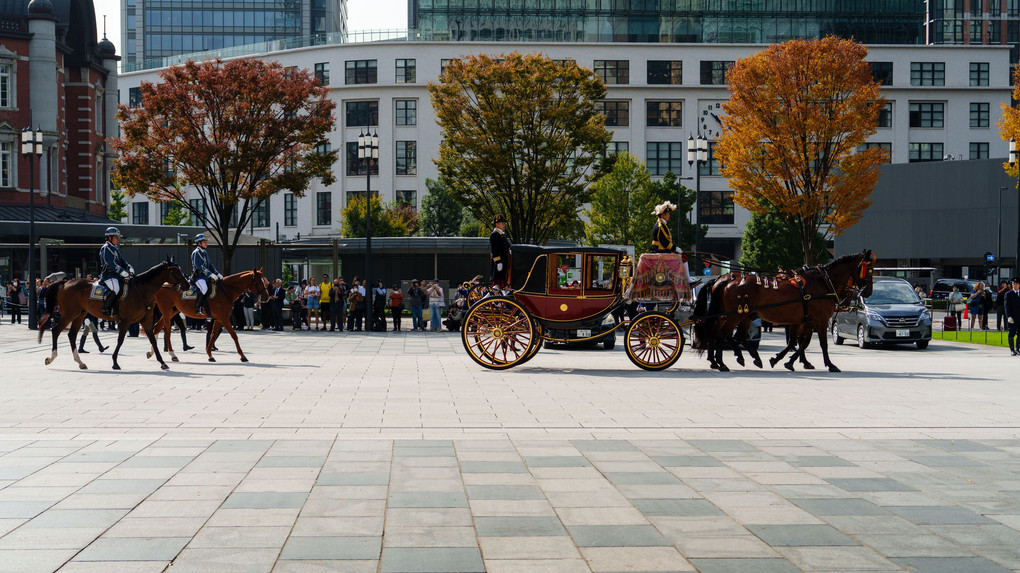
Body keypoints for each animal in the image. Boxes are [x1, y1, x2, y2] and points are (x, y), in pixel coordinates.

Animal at [37, 254, 189, 371]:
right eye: (174, 271)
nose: (187, 285)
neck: (141, 291)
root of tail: (65, 283)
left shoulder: (146, 321)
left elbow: (152, 339)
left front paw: (162, 362)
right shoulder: (126, 321)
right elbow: (120, 340)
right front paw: (115, 362)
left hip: (79, 315)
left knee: (71, 335)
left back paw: (80, 362)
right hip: (69, 314)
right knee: (56, 330)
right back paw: (51, 358)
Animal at [693, 249, 877, 371]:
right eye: (869, 270)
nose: (868, 292)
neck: (823, 282)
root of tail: (726, 279)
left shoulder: (805, 321)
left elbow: (799, 342)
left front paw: (785, 360)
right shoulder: (820, 320)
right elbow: (820, 344)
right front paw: (830, 364)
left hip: (741, 316)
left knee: (735, 336)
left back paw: (745, 358)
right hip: (735, 316)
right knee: (722, 335)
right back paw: (723, 362)